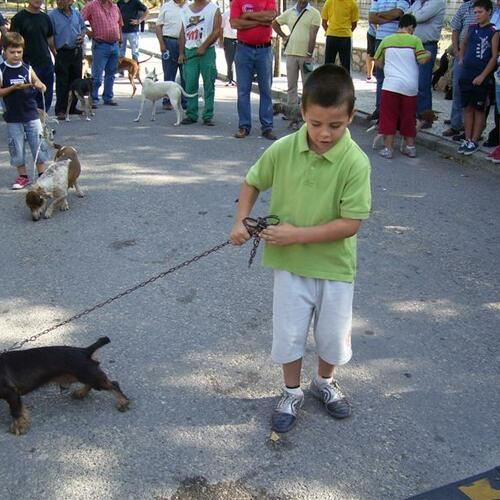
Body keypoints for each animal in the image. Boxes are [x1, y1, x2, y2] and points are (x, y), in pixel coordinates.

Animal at [0, 338, 129, 436]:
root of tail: (84, 351)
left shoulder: (11, 393)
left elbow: (15, 412)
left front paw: (18, 427)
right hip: (79, 376)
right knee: (91, 385)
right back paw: (81, 393)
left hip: (90, 376)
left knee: (114, 384)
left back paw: (123, 402)